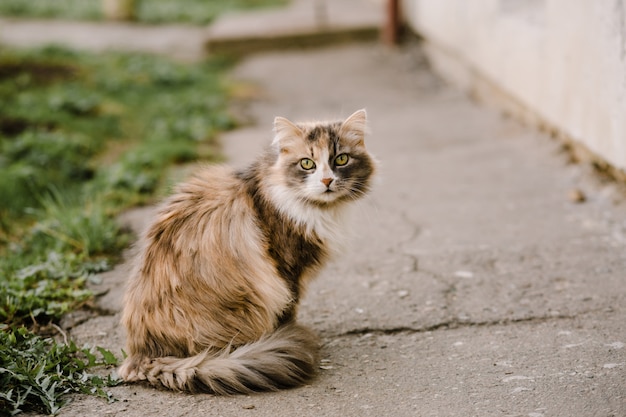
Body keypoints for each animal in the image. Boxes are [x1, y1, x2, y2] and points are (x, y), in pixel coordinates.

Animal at [118, 108, 376, 394]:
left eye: (341, 159)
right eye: (307, 164)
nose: (328, 180)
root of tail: (143, 354)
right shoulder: (287, 272)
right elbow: (289, 311)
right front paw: (287, 333)